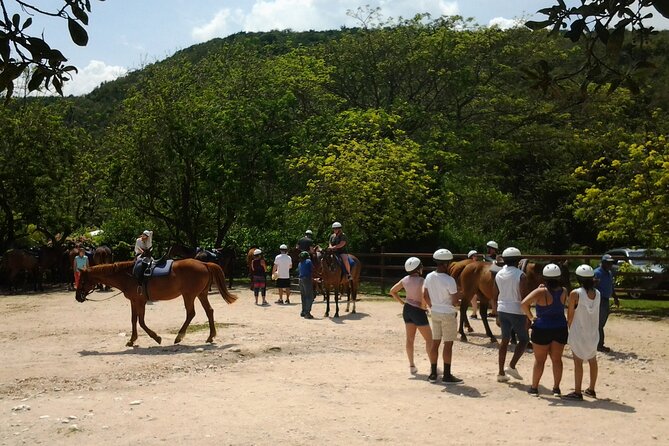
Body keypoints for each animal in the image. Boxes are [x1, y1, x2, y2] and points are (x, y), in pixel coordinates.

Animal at [76, 258, 237, 348]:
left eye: (82, 280)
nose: (78, 297)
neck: (129, 276)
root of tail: (204, 263)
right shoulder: (134, 301)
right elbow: (133, 320)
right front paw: (132, 340)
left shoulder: (140, 302)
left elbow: (141, 322)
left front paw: (156, 338)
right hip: (201, 294)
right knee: (209, 311)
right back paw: (210, 336)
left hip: (189, 295)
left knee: (191, 313)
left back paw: (179, 337)